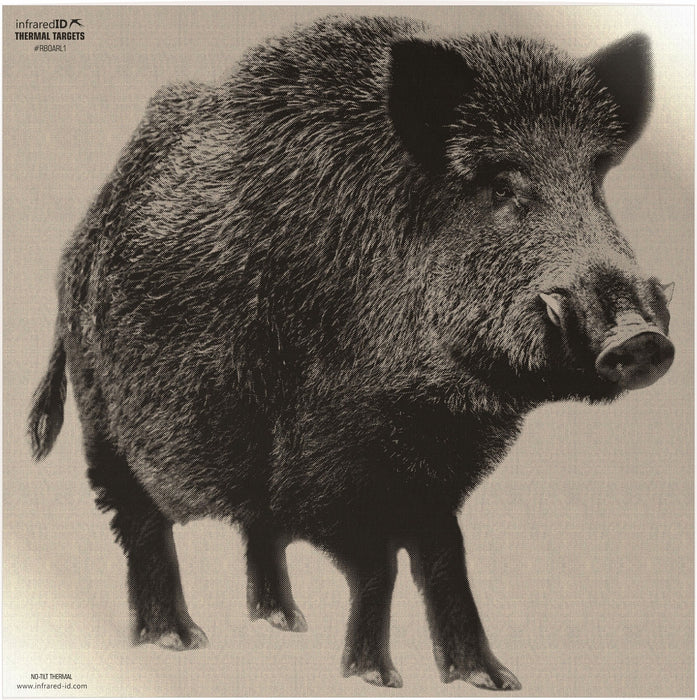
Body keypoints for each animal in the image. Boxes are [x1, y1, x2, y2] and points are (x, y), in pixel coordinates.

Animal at [28, 15, 674, 690]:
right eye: (501, 185)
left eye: (596, 180)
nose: (639, 338)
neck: (432, 402)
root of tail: (78, 241)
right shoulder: (332, 460)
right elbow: (378, 565)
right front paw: (376, 678)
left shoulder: (435, 469)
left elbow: (445, 557)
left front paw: (491, 680)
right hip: (103, 414)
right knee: (139, 521)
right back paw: (178, 640)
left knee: (255, 529)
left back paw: (285, 622)